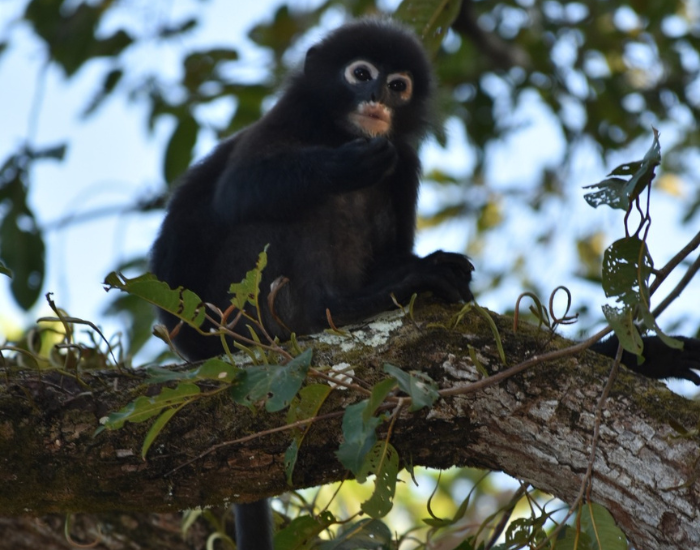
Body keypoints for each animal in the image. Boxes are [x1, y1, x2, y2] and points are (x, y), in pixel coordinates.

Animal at [149, 18, 699, 550]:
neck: (337, 130)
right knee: (282, 217)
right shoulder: (289, 120)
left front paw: (647, 355)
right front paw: (347, 168)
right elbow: (238, 191)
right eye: (360, 74)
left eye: (398, 85)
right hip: (234, 308)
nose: (377, 99)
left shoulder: (406, 162)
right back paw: (343, 306)